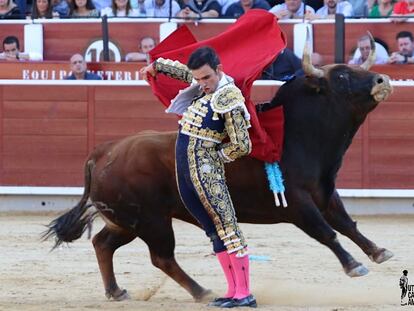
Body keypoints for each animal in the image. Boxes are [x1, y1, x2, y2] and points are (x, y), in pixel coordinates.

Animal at [42, 44, 394, 302]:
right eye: (343, 77)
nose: (382, 80)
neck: (294, 135)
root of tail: (103, 152)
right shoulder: (298, 205)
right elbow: (327, 232)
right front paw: (354, 266)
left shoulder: (326, 194)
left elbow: (347, 224)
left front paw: (378, 252)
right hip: (151, 221)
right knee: (161, 257)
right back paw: (202, 291)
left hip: (125, 220)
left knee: (103, 243)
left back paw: (116, 292)